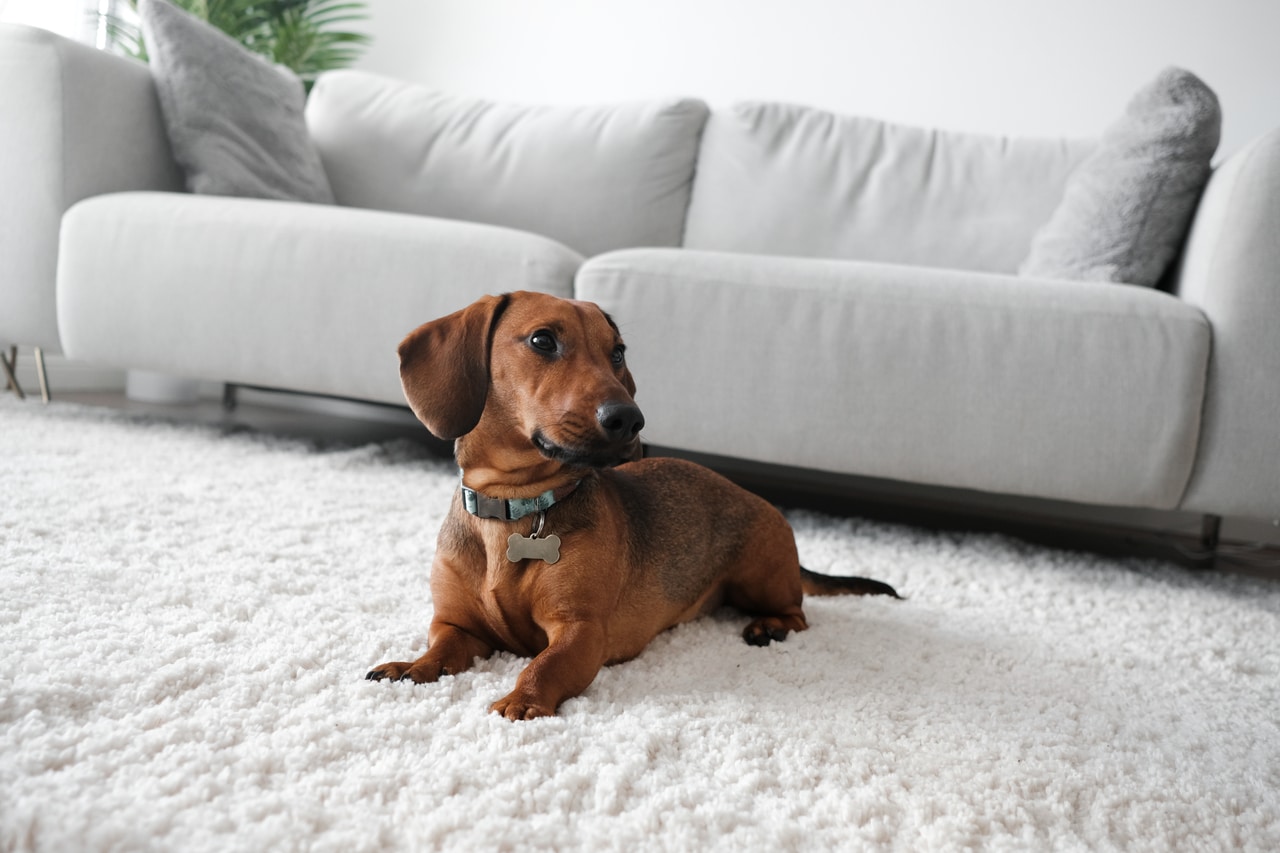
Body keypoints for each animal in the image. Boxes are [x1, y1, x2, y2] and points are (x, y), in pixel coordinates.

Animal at [366, 289, 896, 712]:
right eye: (542, 341)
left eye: (617, 352)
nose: (630, 419)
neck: (516, 509)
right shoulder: (456, 625)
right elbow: (439, 650)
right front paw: (411, 667)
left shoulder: (581, 631)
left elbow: (543, 665)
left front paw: (522, 699)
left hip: (760, 578)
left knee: (799, 614)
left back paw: (770, 627)